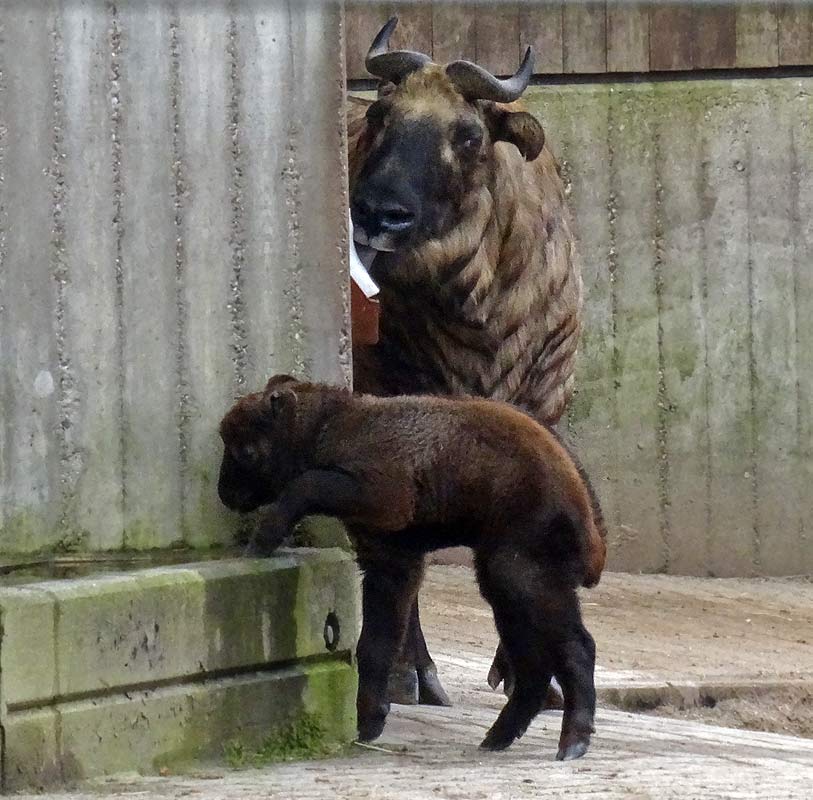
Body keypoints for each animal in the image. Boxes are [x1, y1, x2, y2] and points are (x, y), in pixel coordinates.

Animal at [216, 376, 604, 764]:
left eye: (245, 451)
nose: (225, 494)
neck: (331, 424)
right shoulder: (391, 561)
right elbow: (376, 642)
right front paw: (369, 721)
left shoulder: (379, 498)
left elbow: (307, 483)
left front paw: (262, 540)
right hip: (505, 584)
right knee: (533, 663)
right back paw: (499, 736)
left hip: (520, 575)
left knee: (576, 647)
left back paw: (573, 742)